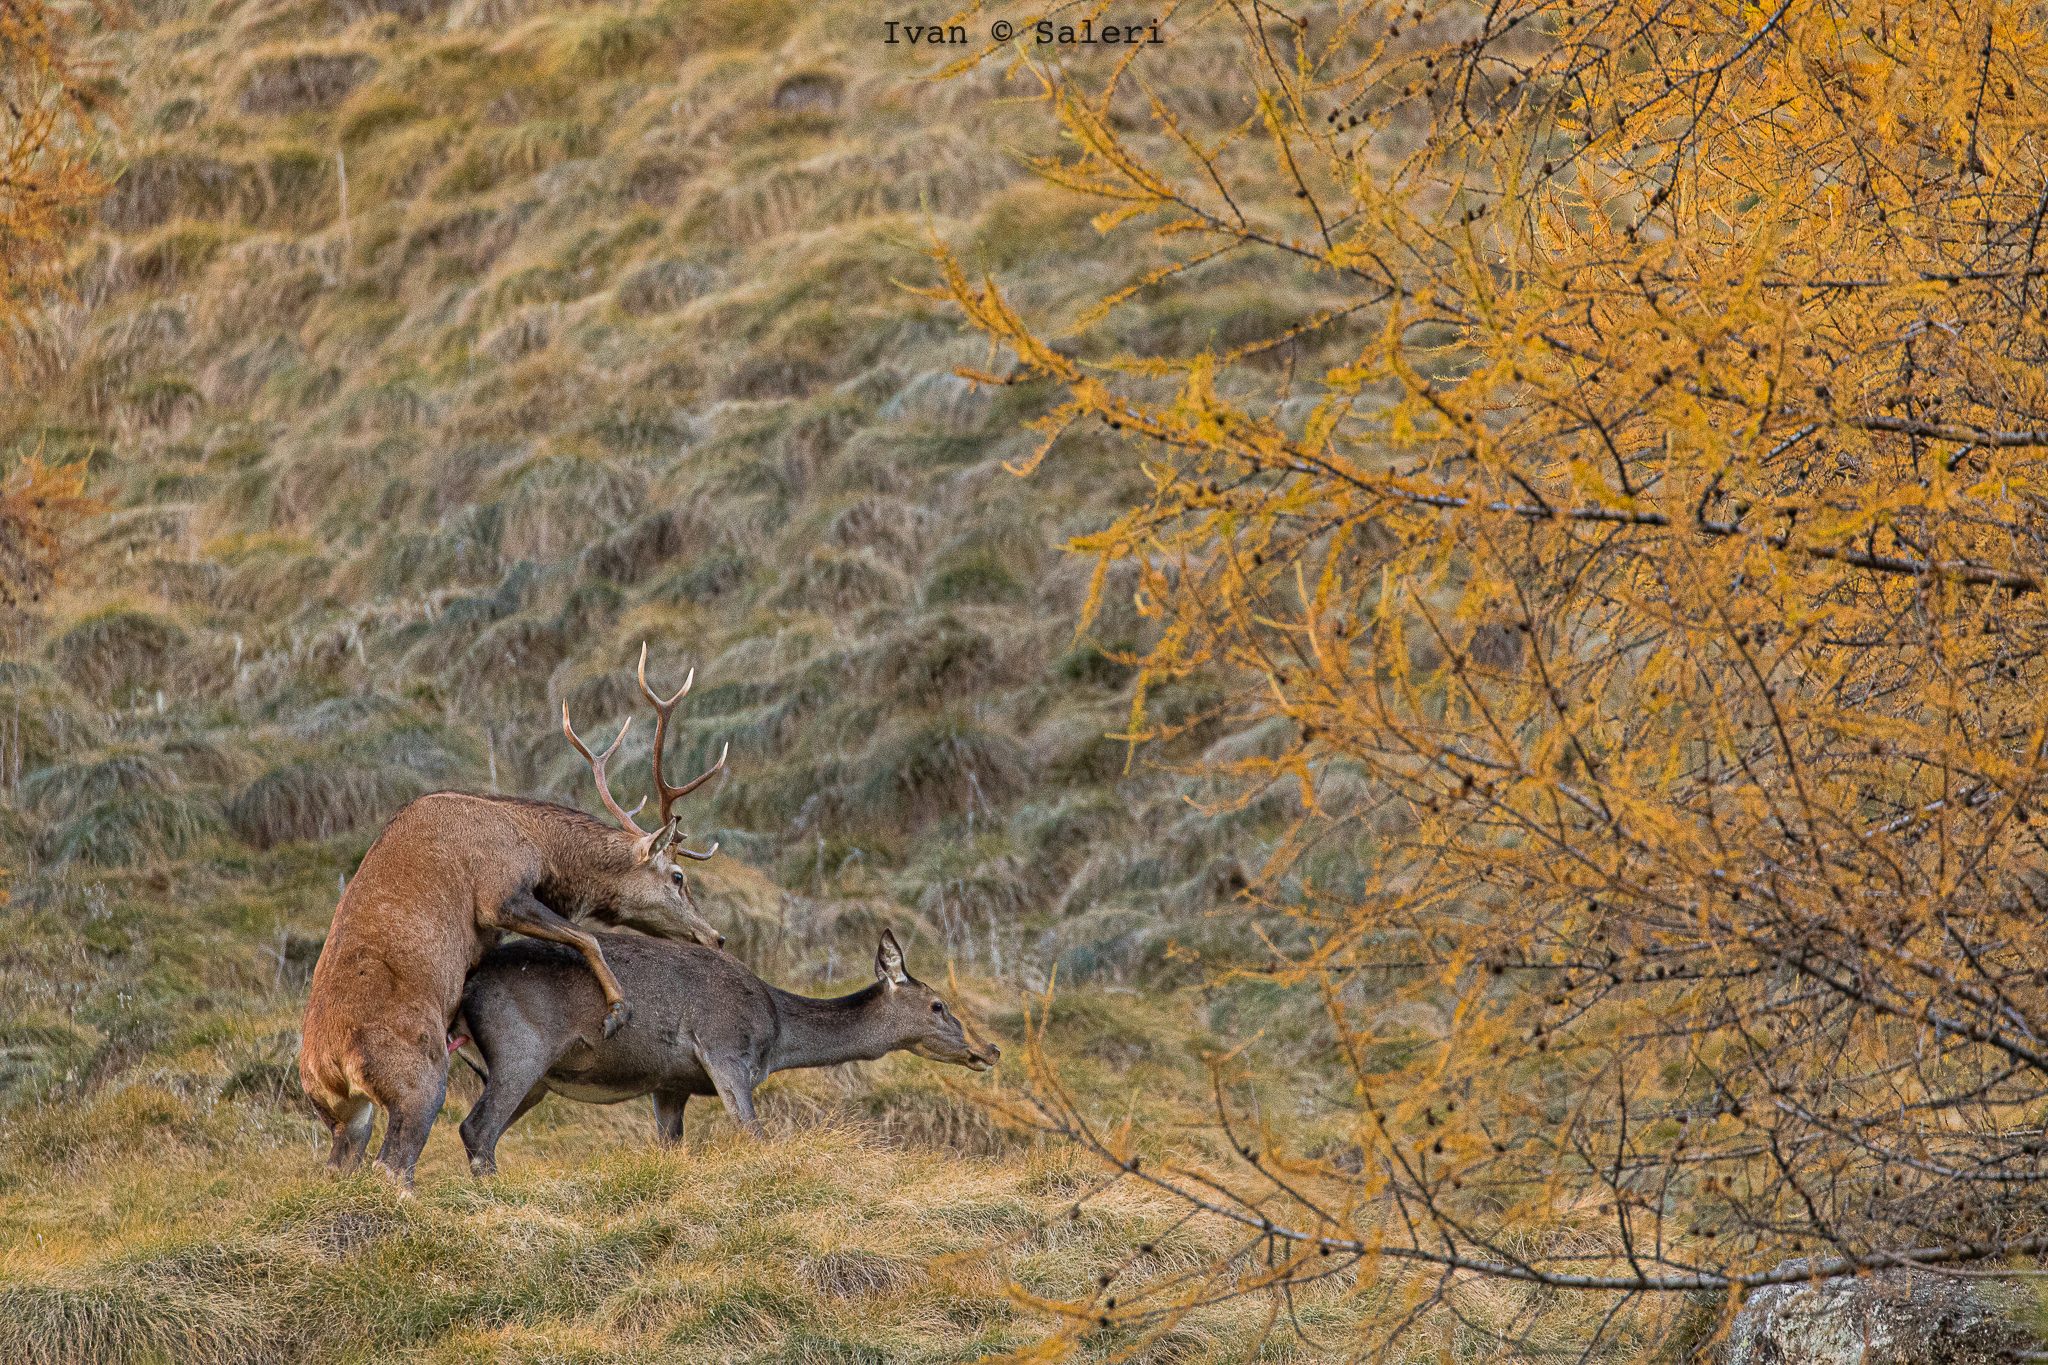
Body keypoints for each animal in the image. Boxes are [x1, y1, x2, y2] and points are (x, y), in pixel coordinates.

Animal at [298, 646, 731, 1186]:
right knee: (395, 1163)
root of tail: (330, 1063)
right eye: (677, 876)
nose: (715, 937)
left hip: (343, 1113)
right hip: (417, 1076)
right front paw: (618, 1009)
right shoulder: (499, 891)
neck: (538, 848)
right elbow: (586, 937)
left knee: (342, 1165)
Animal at [451, 928, 1000, 1173]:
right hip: (522, 1048)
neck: (776, 1035)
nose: (989, 1049)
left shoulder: (669, 1083)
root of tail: (466, 984)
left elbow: (671, 1148)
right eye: (937, 1004)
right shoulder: (724, 1048)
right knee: (476, 1128)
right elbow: (754, 1134)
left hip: (524, 1076)